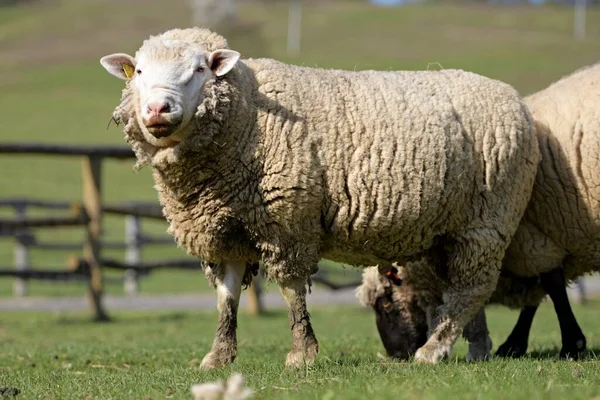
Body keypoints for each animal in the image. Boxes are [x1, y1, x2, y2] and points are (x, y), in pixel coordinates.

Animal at [101, 26, 540, 368]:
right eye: (139, 71)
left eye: (199, 69)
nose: (158, 109)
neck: (249, 116)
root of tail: (514, 98)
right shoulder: (224, 231)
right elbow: (227, 297)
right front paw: (218, 357)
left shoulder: (287, 220)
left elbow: (292, 291)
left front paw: (302, 355)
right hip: (447, 229)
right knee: (460, 290)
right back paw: (475, 348)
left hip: (487, 220)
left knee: (472, 288)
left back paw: (433, 350)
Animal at [358, 62, 600, 362]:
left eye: (385, 301)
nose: (396, 353)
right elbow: (539, 291)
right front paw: (516, 344)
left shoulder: (532, 237)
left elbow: (550, 286)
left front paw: (568, 343)